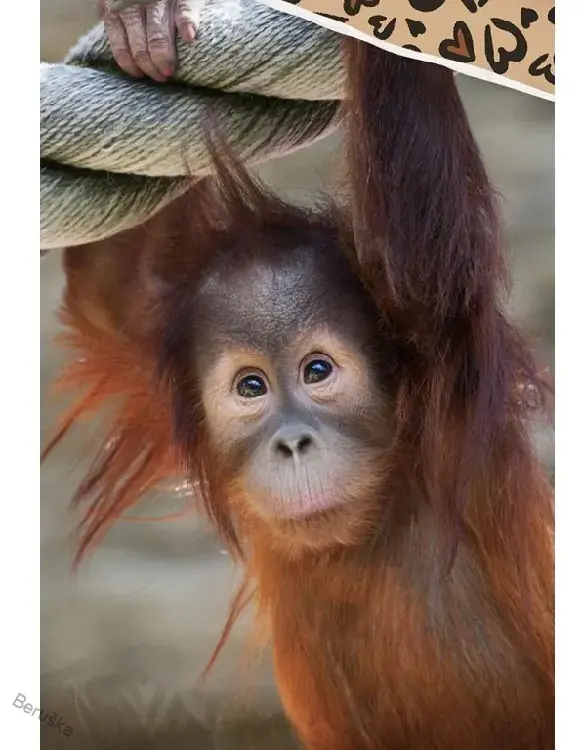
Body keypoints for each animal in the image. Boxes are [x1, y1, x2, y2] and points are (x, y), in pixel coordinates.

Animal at [43, 41, 554, 750]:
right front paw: (143, 31)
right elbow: (107, 274)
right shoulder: (147, 332)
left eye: (317, 371)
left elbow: (420, 240)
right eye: (251, 386)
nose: (292, 441)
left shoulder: (444, 354)